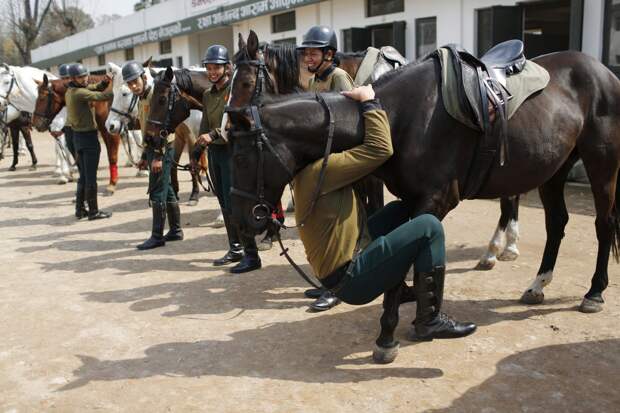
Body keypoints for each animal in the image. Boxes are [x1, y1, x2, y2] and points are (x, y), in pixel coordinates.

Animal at [226, 50, 620, 360]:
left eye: (242, 158)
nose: (245, 221)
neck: (403, 116)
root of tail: (603, 70)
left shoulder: (434, 200)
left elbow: (403, 267)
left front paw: (388, 335)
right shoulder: (409, 199)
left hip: (601, 168)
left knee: (603, 225)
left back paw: (593, 291)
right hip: (553, 171)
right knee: (556, 223)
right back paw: (537, 283)